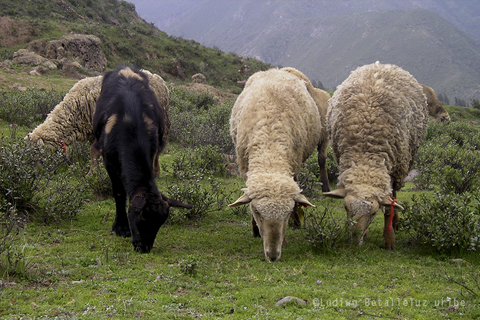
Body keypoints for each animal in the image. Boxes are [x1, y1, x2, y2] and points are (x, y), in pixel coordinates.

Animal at [24, 69, 171, 176]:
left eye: (36, 153)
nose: (34, 175)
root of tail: (159, 79)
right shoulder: (92, 132)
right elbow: (95, 153)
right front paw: (99, 171)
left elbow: (93, 152)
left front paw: (92, 174)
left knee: (157, 148)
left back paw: (155, 172)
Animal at [93, 67, 192, 252]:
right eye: (142, 216)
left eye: (161, 223)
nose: (144, 248)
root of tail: (125, 67)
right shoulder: (108, 161)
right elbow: (119, 193)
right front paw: (121, 228)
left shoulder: (151, 152)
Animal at [322, 62, 428, 250]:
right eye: (346, 208)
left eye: (373, 213)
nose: (354, 240)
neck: (366, 153)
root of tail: (382, 64)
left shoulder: (394, 170)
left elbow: (388, 207)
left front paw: (389, 240)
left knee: (394, 197)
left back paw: (395, 221)